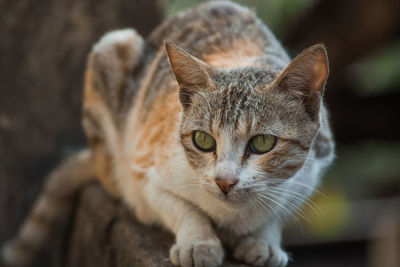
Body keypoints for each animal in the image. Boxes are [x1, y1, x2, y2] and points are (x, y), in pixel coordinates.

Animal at [2, 1, 334, 266]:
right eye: (203, 140)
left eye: (263, 143)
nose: (224, 182)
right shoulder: (144, 171)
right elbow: (178, 206)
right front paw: (199, 241)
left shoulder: (312, 171)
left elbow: (279, 210)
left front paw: (265, 240)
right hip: (114, 49)